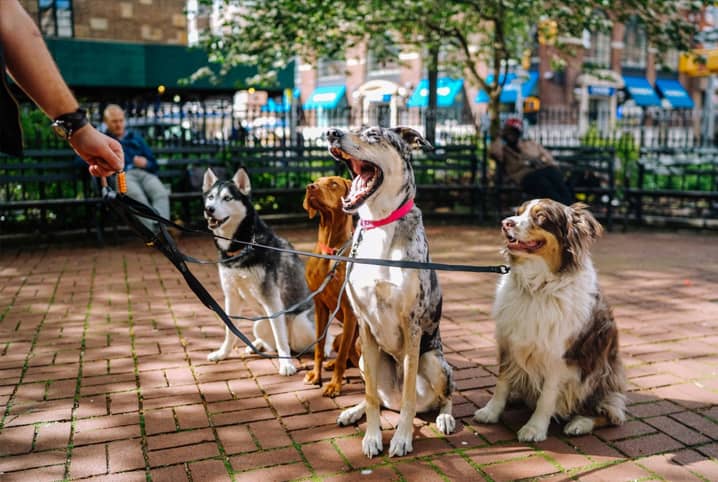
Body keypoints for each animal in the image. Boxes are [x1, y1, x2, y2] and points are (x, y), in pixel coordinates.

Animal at [302, 175, 360, 398]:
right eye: (315, 181)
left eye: (333, 183)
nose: (310, 187)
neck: (330, 252)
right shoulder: (319, 306)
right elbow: (319, 347)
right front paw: (316, 375)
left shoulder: (350, 310)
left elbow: (343, 355)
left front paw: (335, 385)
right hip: (339, 336)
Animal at [328, 128, 456, 460]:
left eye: (373, 134)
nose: (332, 132)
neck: (380, 224)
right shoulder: (363, 324)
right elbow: (371, 395)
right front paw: (373, 438)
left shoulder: (411, 324)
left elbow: (410, 393)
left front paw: (402, 438)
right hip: (363, 358)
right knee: (379, 396)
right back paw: (353, 411)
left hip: (435, 361)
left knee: (444, 396)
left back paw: (445, 417)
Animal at [476, 199, 628, 440]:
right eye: (518, 212)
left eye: (541, 217)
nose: (505, 223)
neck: (537, 288)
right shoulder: (509, 342)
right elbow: (502, 381)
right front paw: (491, 411)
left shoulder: (559, 357)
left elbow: (547, 397)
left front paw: (535, 428)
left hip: (601, 373)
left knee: (612, 413)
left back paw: (580, 423)